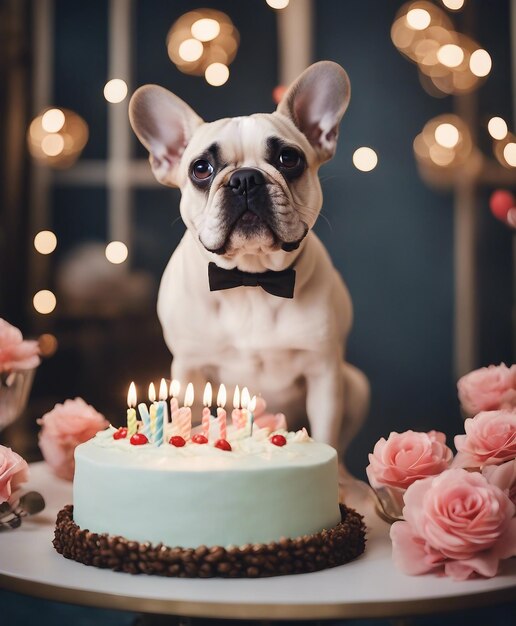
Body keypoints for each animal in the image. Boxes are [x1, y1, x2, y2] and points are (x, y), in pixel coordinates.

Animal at [131, 62, 368, 464]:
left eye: (289, 159)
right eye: (200, 168)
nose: (245, 179)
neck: (251, 279)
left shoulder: (324, 373)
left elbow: (327, 435)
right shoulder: (189, 367)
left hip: (355, 383)